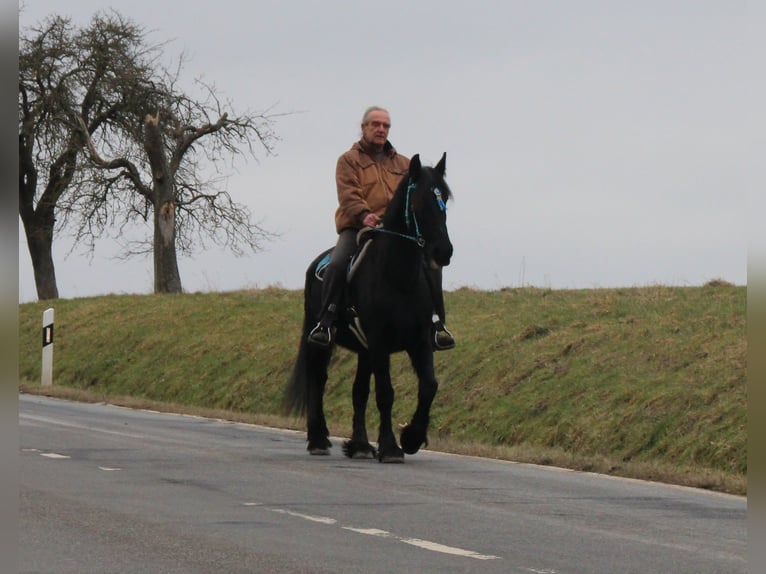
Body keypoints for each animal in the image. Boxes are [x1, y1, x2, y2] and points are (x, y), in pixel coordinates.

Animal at [288, 153, 456, 464]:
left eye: (444, 202)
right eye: (419, 202)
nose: (443, 251)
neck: (397, 276)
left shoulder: (420, 340)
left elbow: (428, 386)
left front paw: (411, 437)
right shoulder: (379, 341)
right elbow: (385, 393)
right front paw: (390, 447)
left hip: (365, 351)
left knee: (358, 392)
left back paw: (361, 446)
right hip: (324, 342)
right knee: (317, 380)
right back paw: (319, 439)